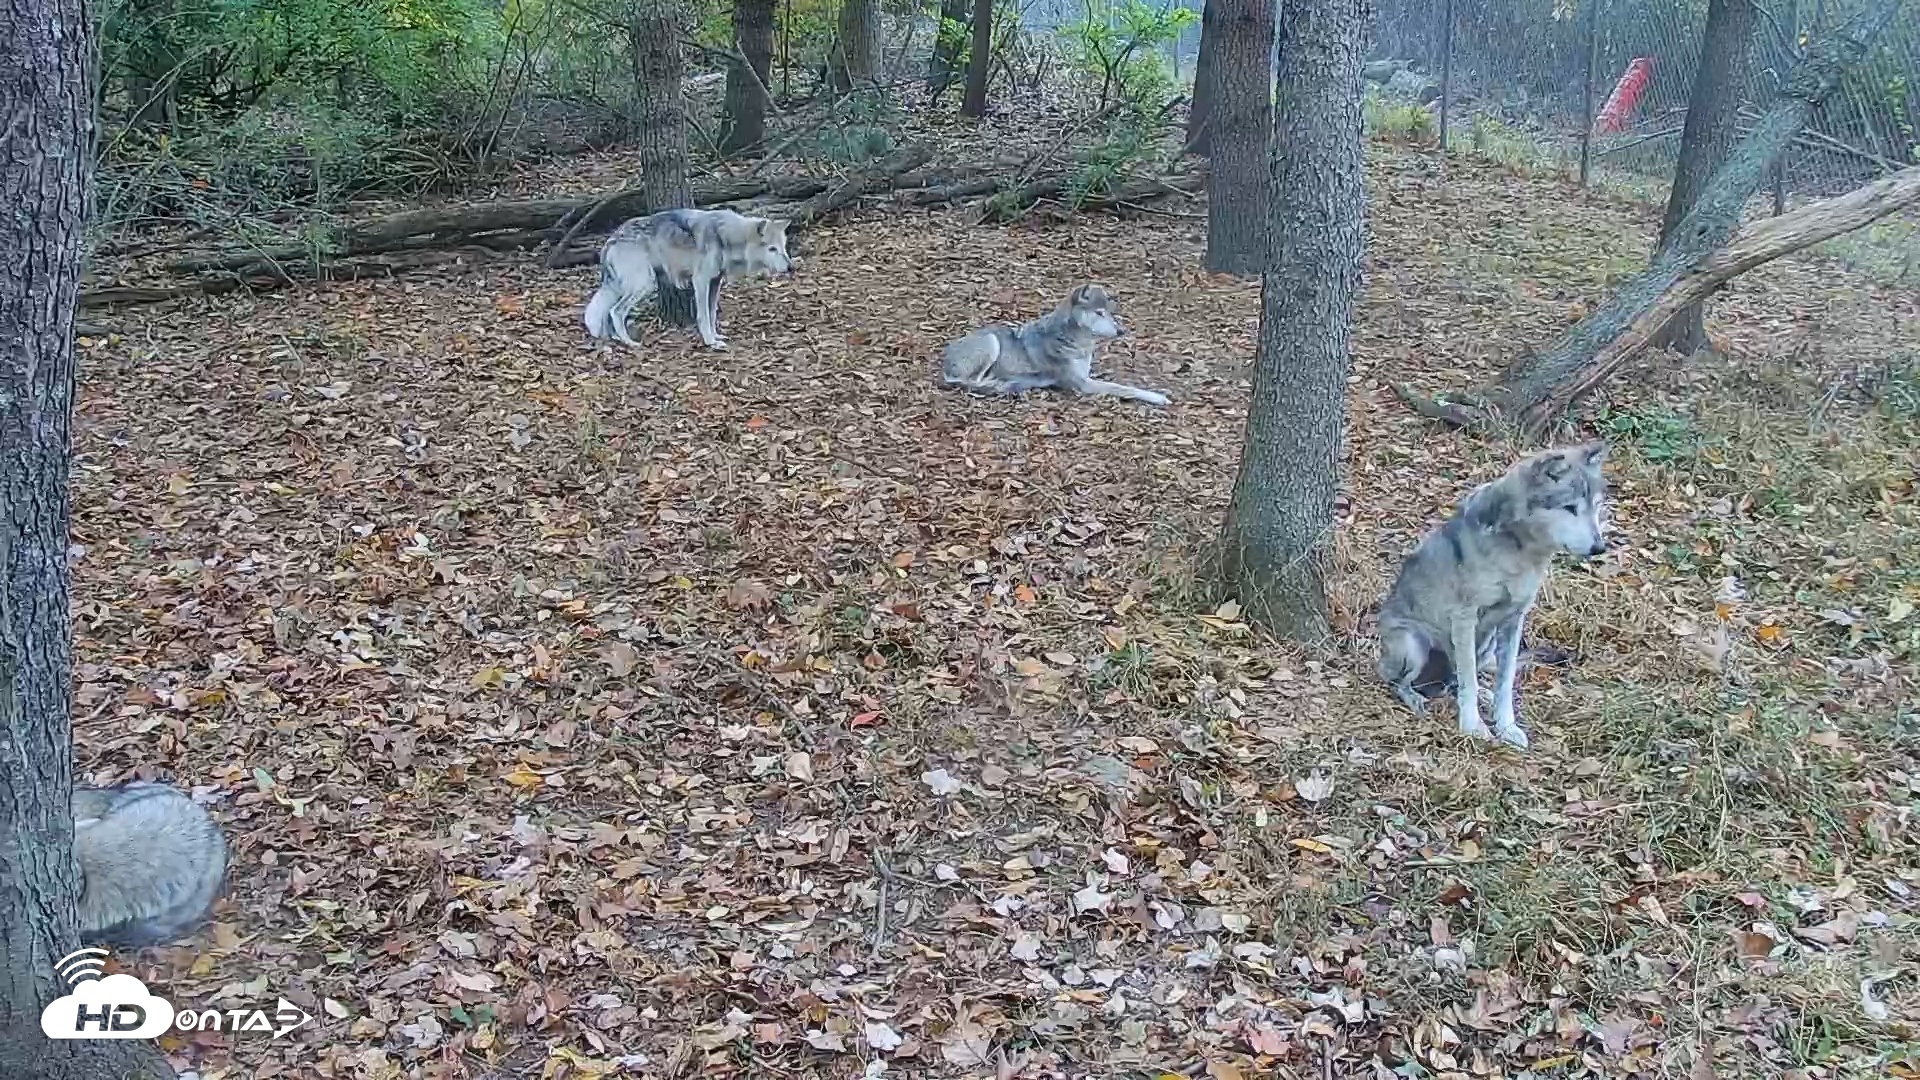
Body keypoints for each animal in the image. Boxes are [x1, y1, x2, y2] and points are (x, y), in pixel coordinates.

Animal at [582, 208, 794, 351]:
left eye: (783, 247)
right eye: (772, 249)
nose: (791, 268)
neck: (725, 238)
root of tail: (610, 239)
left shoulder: (715, 282)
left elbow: (712, 314)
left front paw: (716, 336)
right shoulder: (700, 281)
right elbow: (704, 316)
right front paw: (711, 342)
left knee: (608, 312)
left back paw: (614, 338)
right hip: (645, 284)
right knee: (616, 311)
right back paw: (629, 343)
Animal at [940, 284, 1171, 406]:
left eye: (1110, 313)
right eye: (1099, 313)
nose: (1121, 331)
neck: (1078, 343)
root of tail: (944, 361)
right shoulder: (1082, 384)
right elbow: (1123, 388)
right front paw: (1158, 397)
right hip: (991, 342)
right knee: (972, 382)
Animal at [1374, 442, 1610, 750]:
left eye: (1596, 506)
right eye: (1570, 508)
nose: (1599, 548)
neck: (1521, 551)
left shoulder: (1514, 619)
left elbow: (1504, 682)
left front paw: (1507, 727)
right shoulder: (1465, 617)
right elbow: (1470, 683)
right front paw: (1473, 727)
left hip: (1483, 644)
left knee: (1456, 679)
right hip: (1414, 645)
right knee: (1399, 682)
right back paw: (1416, 699)